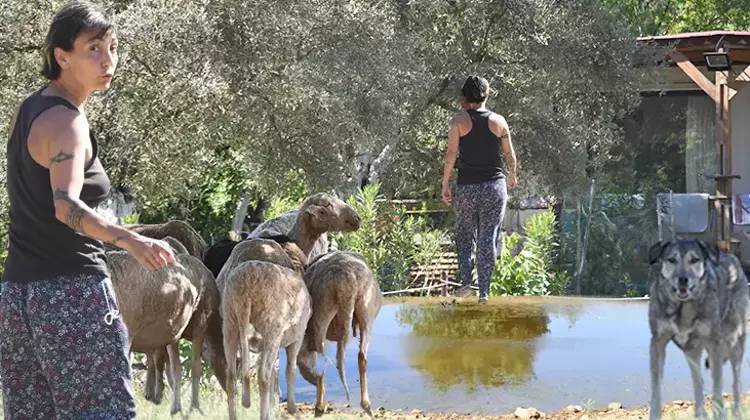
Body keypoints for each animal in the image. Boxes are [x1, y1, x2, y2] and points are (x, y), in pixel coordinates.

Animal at [648, 240, 748, 420]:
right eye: (671, 260)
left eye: (694, 260)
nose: (683, 280)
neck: (683, 308)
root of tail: (731, 255)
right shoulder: (657, 342)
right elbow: (656, 386)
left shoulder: (714, 345)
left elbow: (717, 388)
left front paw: (720, 415)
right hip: (691, 351)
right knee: (698, 382)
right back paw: (700, 414)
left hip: (735, 342)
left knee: (736, 382)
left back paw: (737, 413)